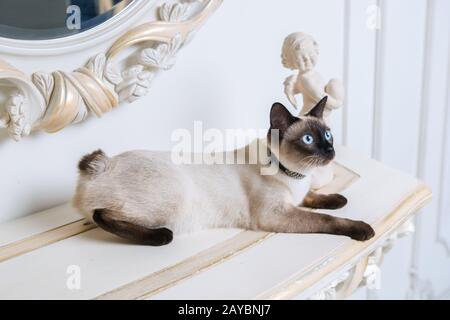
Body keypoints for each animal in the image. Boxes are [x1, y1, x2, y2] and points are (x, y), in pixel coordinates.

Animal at [73, 96, 376, 246]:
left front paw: (337, 199)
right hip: (176, 198)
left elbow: (316, 198)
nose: (330, 151)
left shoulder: (298, 197)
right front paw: (362, 228)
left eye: (328, 135)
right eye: (309, 140)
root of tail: (104, 164)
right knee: (101, 215)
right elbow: (326, 219)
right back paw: (161, 237)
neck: (296, 176)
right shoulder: (276, 214)